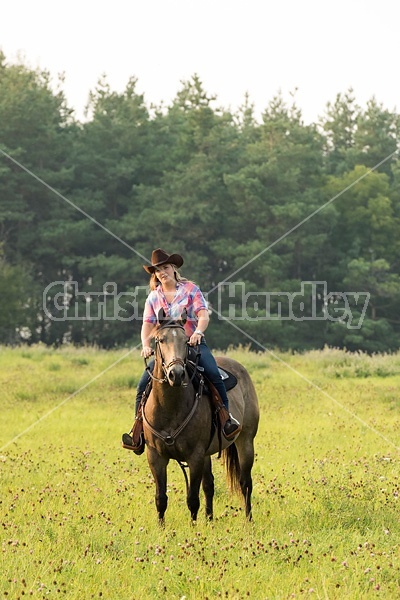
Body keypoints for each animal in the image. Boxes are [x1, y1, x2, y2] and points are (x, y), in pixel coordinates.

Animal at [141, 312, 260, 524]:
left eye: (186, 341)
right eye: (160, 340)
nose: (176, 374)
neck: (170, 408)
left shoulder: (194, 456)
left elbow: (192, 499)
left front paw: (193, 527)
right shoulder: (155, 456)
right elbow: (161, 498)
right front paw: (161, 527)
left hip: (245, 440)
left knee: (245, 483)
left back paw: (248, 521)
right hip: (207, 453)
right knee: (209, 485)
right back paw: (210, 520)